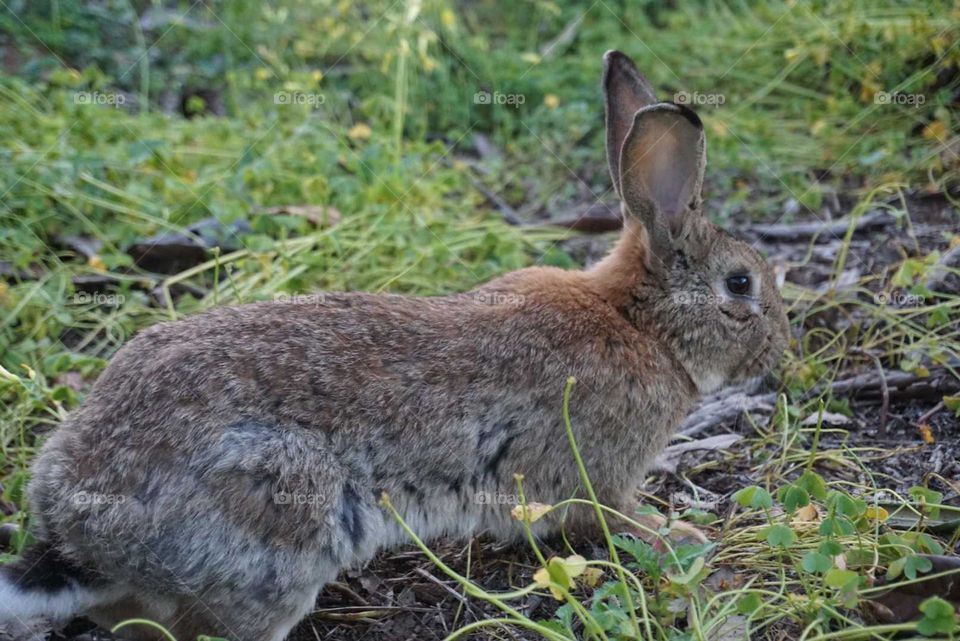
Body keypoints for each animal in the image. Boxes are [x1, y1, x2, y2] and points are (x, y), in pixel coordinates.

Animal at [0, 52, 788, 640]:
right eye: (740, 283)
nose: (780, 352)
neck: (640, 320)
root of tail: (81, 527)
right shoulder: (598, 472)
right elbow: (614, 516)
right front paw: (677, 534)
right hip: (284, 519)